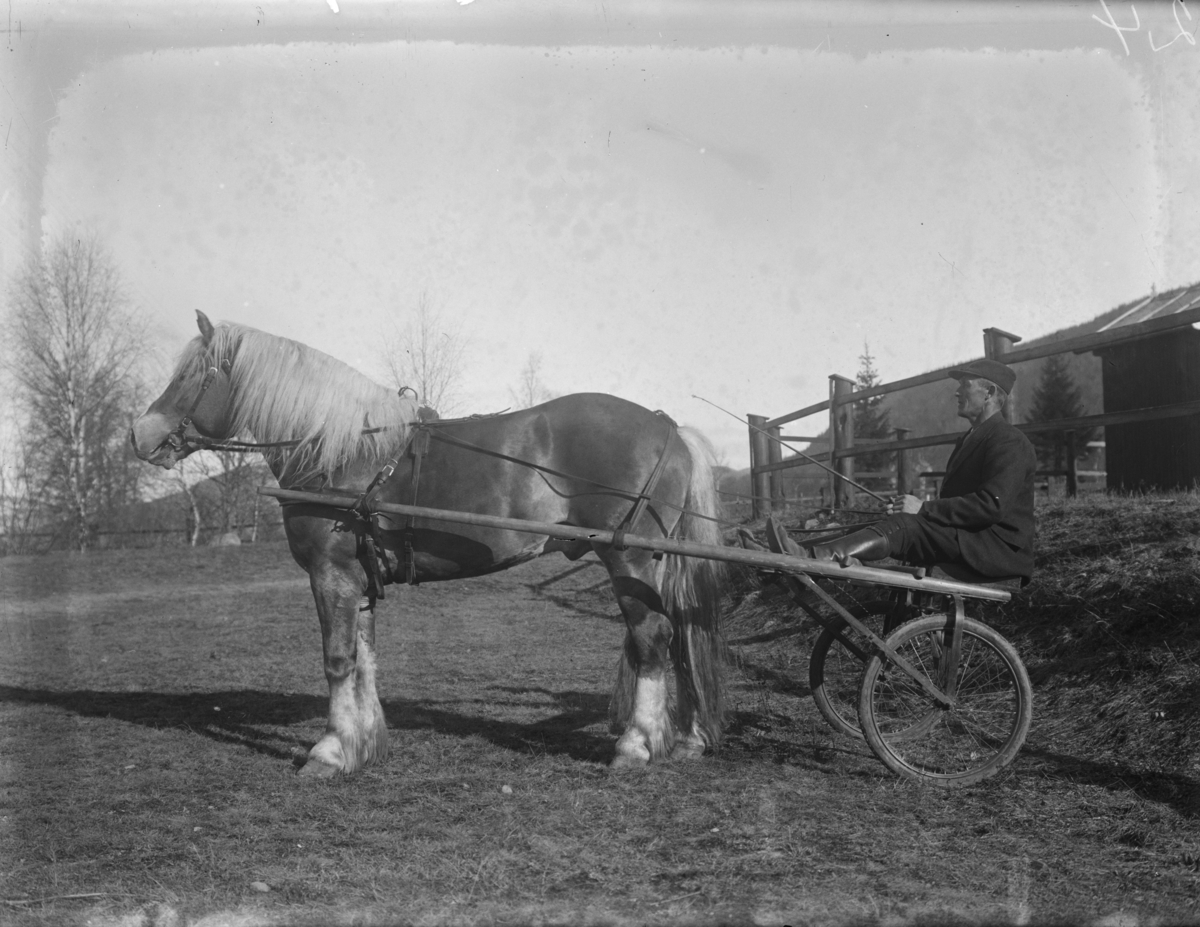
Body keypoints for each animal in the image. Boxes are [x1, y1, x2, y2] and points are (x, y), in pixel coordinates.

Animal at [132, 312, 729, 773]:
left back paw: (636, 745)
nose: (139, 435)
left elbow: (337, 659)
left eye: (191, 375)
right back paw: (685, 738)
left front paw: (329, 751)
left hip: (628, 556)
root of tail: (669, 428)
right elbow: (365, 658)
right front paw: (363, 745)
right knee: (678, 635)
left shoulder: (330, 570)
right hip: (656, 563)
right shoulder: (358, 577)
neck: (340, 451)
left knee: (652, 638)